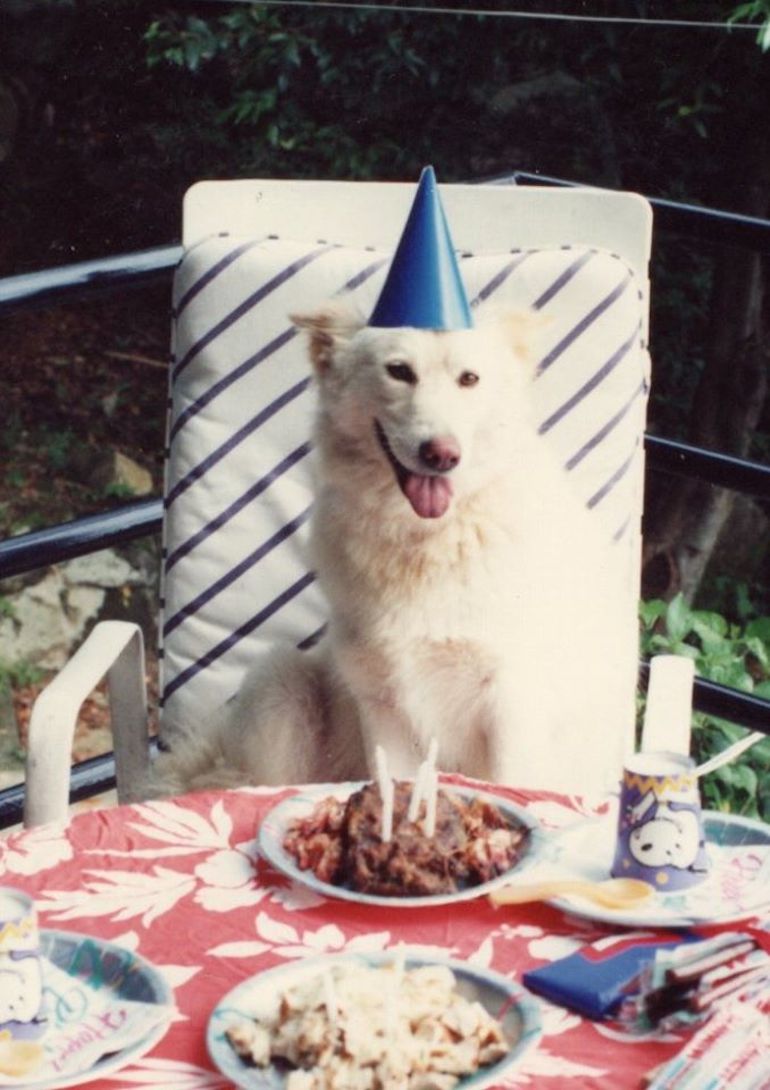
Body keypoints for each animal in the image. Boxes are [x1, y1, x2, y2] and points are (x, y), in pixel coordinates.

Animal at [154, 305, 636, 802]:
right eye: (399, 371)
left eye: (469, 379)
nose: (441, 455)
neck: (430, 540)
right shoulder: (384, 705)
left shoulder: (511, 702)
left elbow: (508, 784)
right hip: (281, 683)